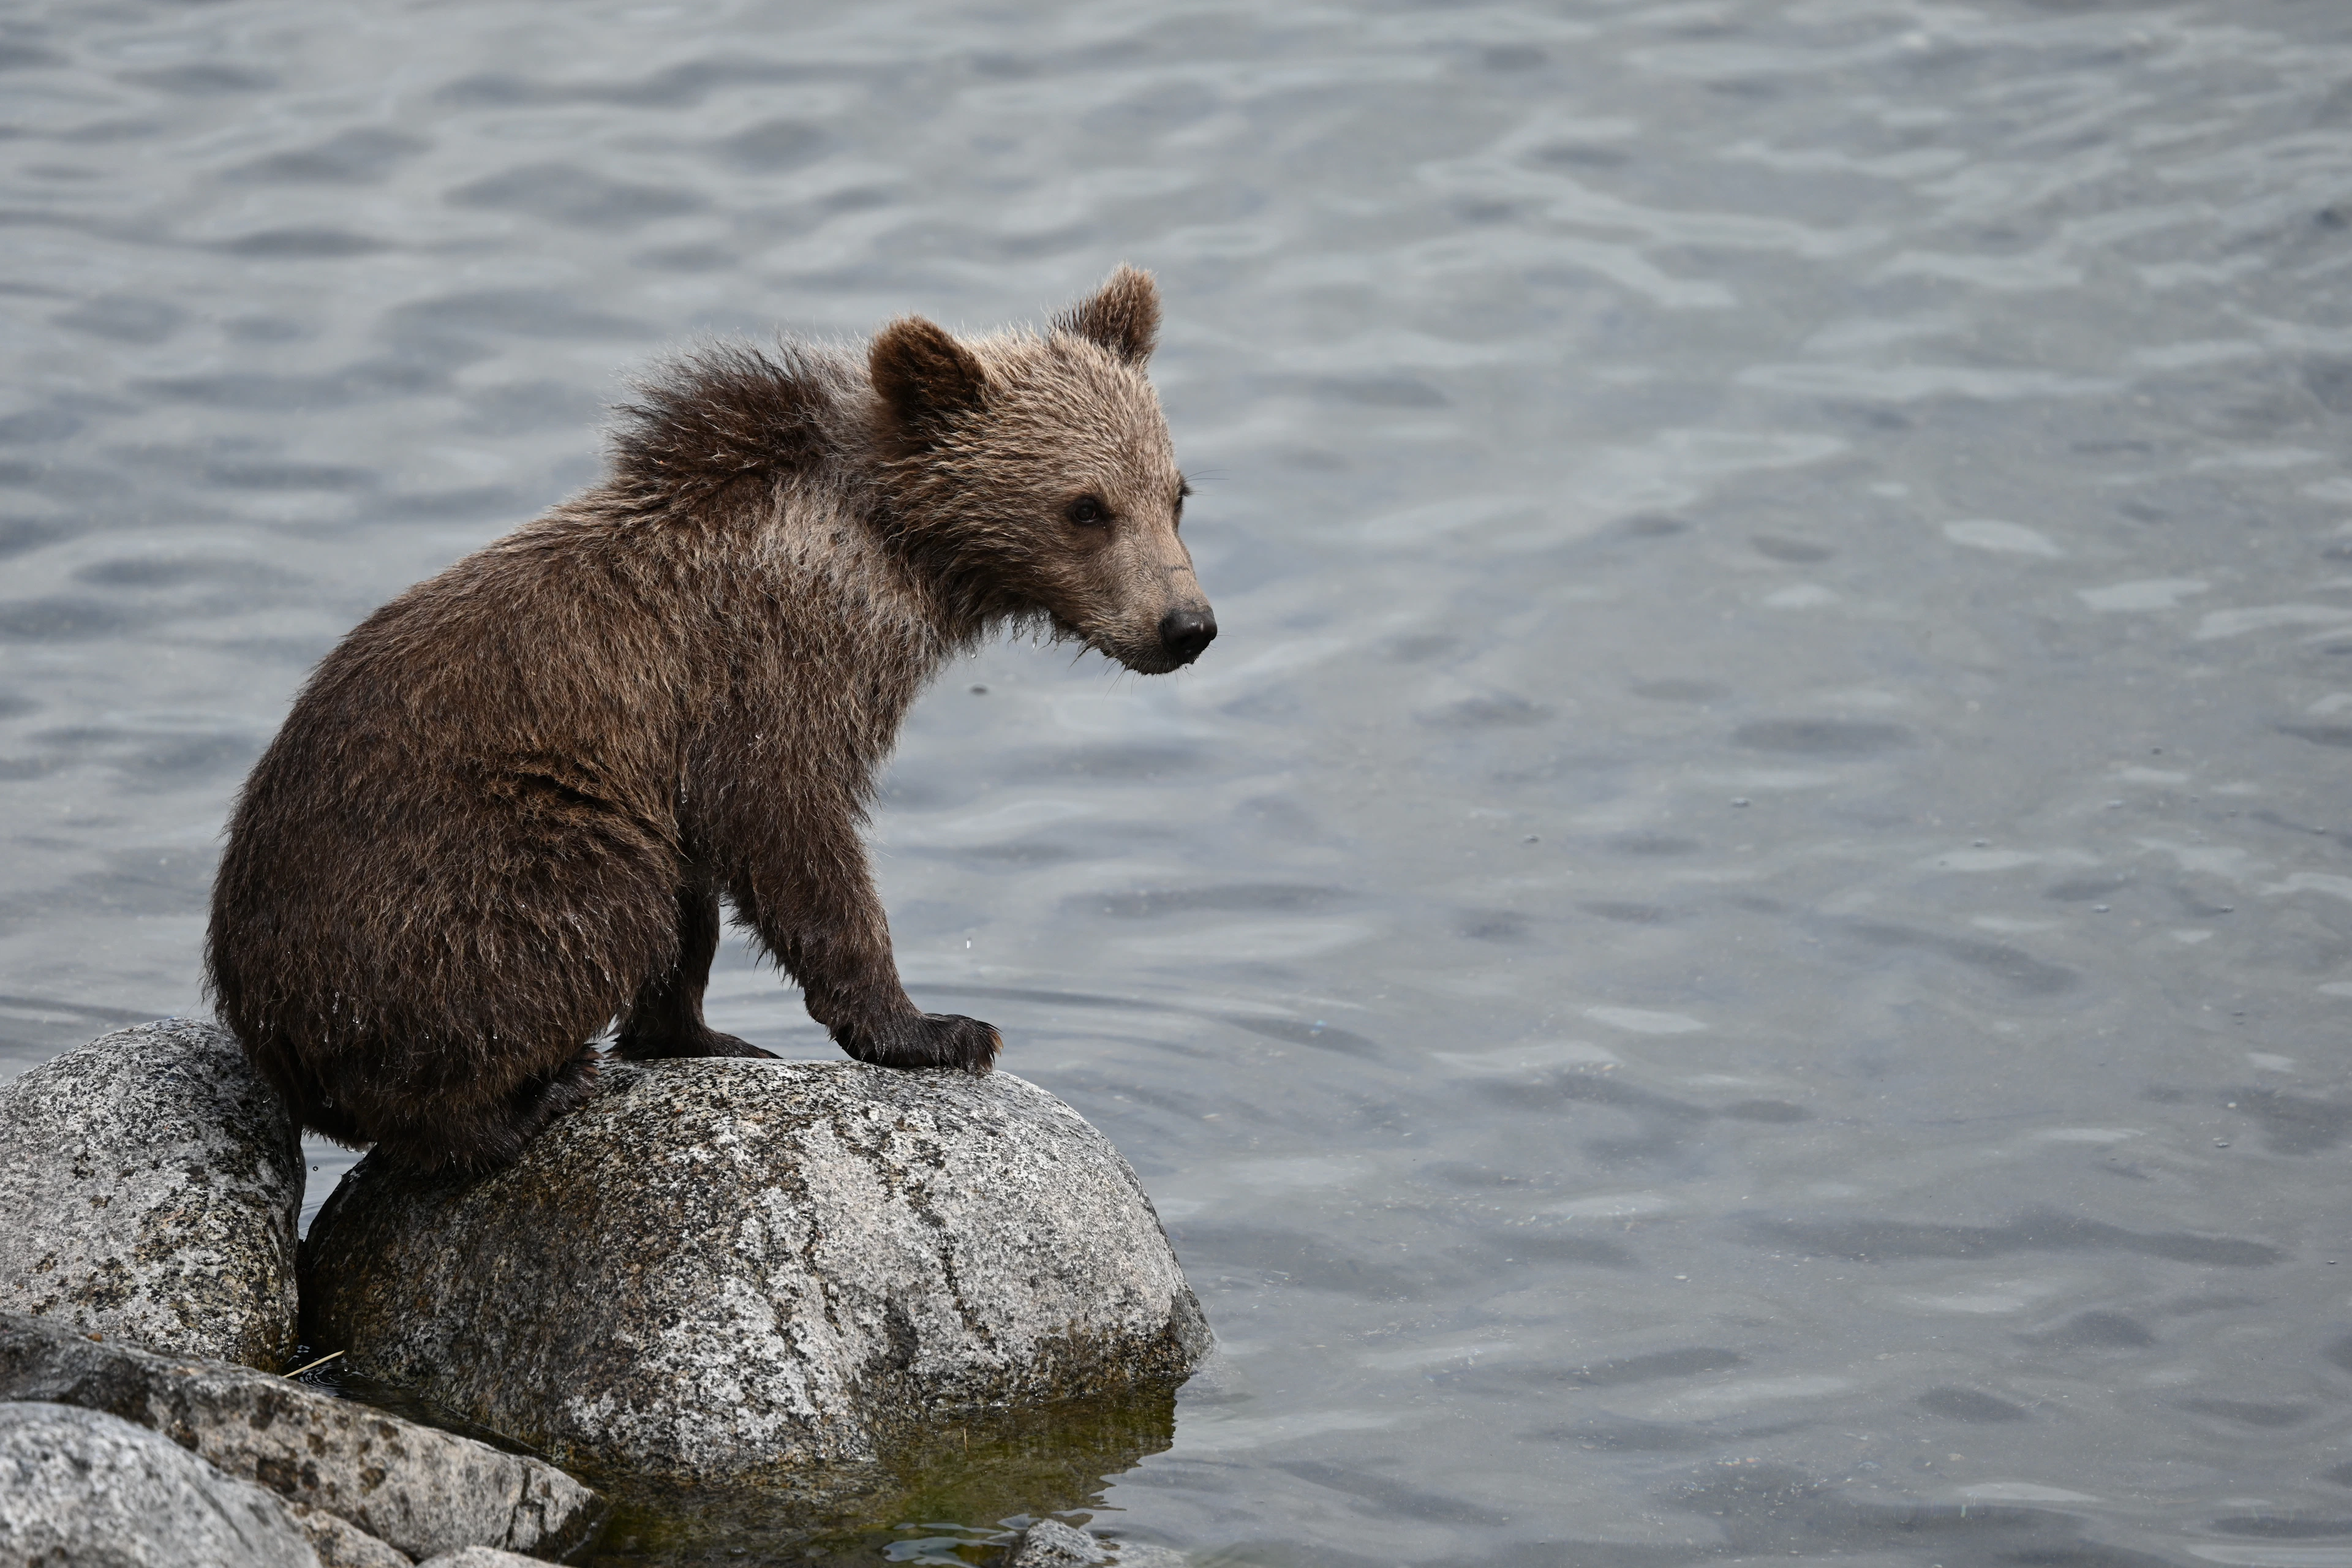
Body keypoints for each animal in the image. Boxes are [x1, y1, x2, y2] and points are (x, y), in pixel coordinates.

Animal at [203, 266, 1214, 1176]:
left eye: (1175, 492)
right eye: (1085, 507)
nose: (1187, 626)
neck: (894, 549)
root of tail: (266, 1030)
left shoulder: (687, 734)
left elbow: (701, 891)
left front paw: (696, 1031)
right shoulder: (771, 670)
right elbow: (789, 831)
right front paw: (938, 1028)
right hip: (456, 869)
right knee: (587, 909)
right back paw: (521, 1100)